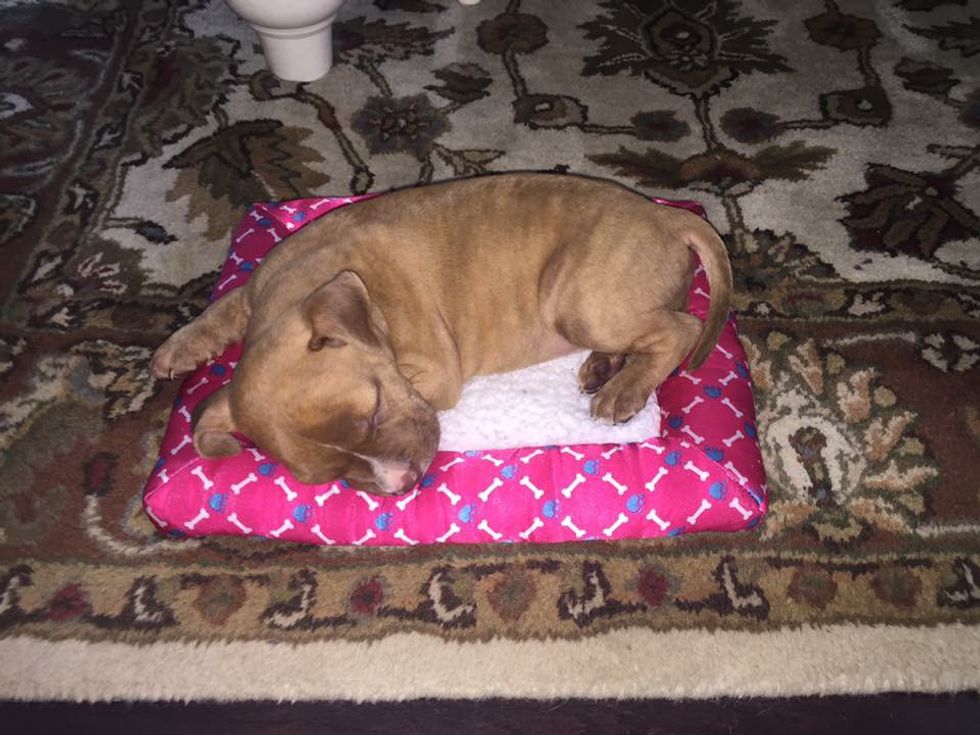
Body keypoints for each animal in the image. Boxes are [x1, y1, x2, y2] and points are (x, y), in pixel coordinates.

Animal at [151, 173, 732, 495]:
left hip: (581, 303)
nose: (402, 484)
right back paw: (605, 368)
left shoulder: (433, 373)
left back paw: (623, 389)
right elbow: (222, 307)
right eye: (328, 475)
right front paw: (177, 347)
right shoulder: (254, 292)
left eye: (374, 413)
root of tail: (666, 218)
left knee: (681, 327)